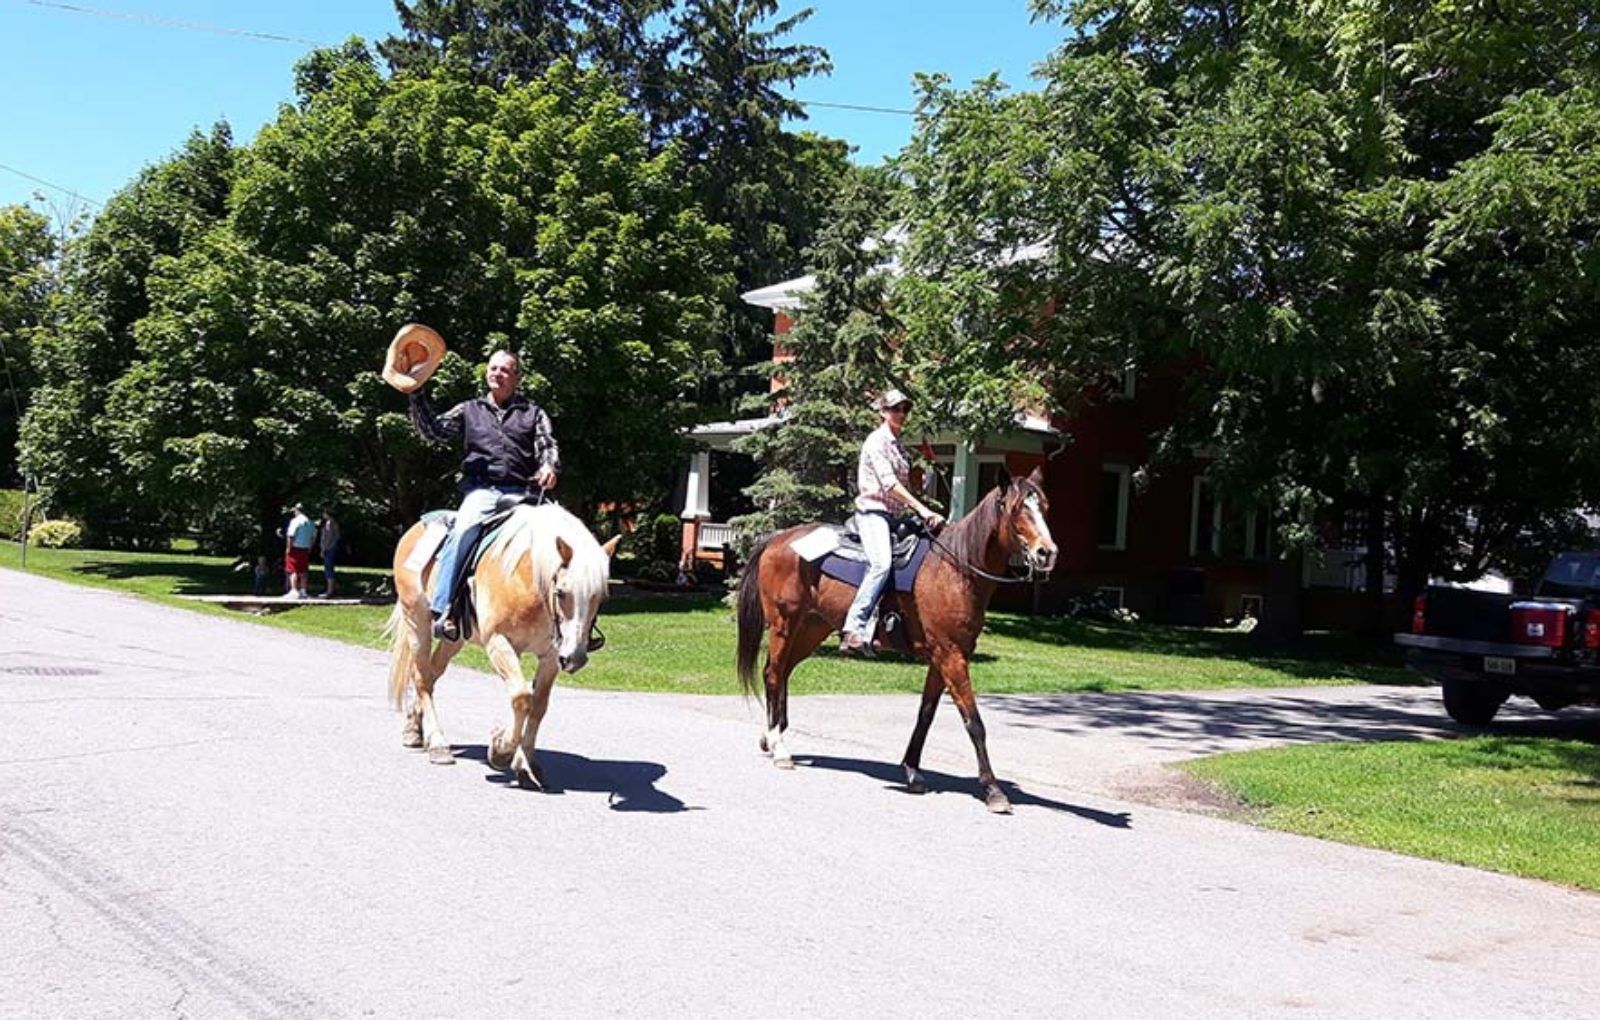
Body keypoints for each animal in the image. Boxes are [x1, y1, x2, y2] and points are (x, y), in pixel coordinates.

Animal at [385, 501, 619, 789]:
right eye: (561, 592)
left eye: (601, 596)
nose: (575, 657)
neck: (528, 579)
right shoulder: (499, 642)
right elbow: (521, 697)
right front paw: (501, 751)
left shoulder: (551, 656)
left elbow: (538, 705)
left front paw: (526, 765)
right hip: (416, 622)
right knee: (421, 677)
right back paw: (438, 743)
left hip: (455, 638)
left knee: (431, 674)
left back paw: (415, 730)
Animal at [735, 466, 1058, 813]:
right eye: (1016, 509)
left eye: (1044, 507)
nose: (1047, 552)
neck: (955, 570)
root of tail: (776, 539)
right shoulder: (951, 655)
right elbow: (974, 722)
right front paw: (994, 791)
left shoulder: (942, 658)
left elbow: (925, 716)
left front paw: (912, 771)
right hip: (784, 624)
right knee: (773, 674)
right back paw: (780, 748)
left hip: (811, 628)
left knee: (781, 673)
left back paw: (771, 738)